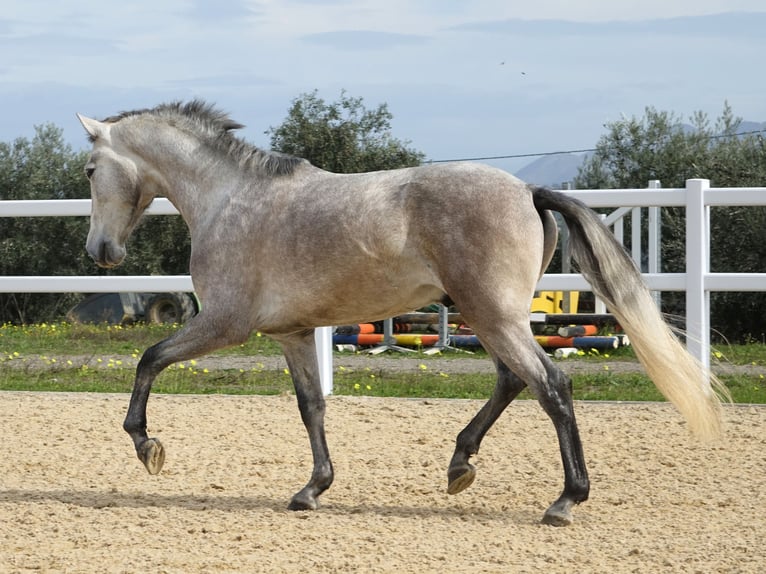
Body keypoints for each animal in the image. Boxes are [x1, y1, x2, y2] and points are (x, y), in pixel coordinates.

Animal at [76, 100, 726, 526]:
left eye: (88, 170)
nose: (100, 252)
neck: (230, 199)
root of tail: (526, 191)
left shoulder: (224, 323)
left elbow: (149, 359)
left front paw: (146, 445)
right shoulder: (293, 334)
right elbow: (310, 407)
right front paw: (312, 490)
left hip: (494, 317)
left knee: (552, 385)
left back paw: (565, 500)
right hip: (488, 317)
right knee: (513, 380)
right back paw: (460, 465)